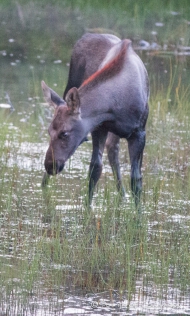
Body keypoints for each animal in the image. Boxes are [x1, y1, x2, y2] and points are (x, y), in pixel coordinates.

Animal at [42, 32, 149, 205]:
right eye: (49, 131)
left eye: (65, 133)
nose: (50, 165)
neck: (115, 106)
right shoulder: (99, 128)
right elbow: (95, 169)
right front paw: (87, 208)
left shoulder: (139, 133)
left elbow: (136, 179)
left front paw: (139, 212)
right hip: (69, 87)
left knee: (112, 149)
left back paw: (122, 194)